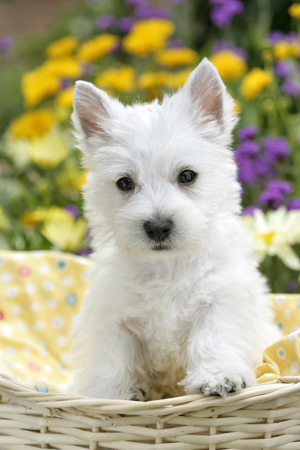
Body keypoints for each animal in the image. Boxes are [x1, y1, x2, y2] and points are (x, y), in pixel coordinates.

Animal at [67, 58, 278, 400]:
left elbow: (214, 337)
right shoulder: (112, 315)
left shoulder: (220, 299)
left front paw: (218, 375)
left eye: (187, 175)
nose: (157, 227)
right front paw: (110, 393)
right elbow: (110, 358)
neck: (166, 266)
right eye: (124, 183)